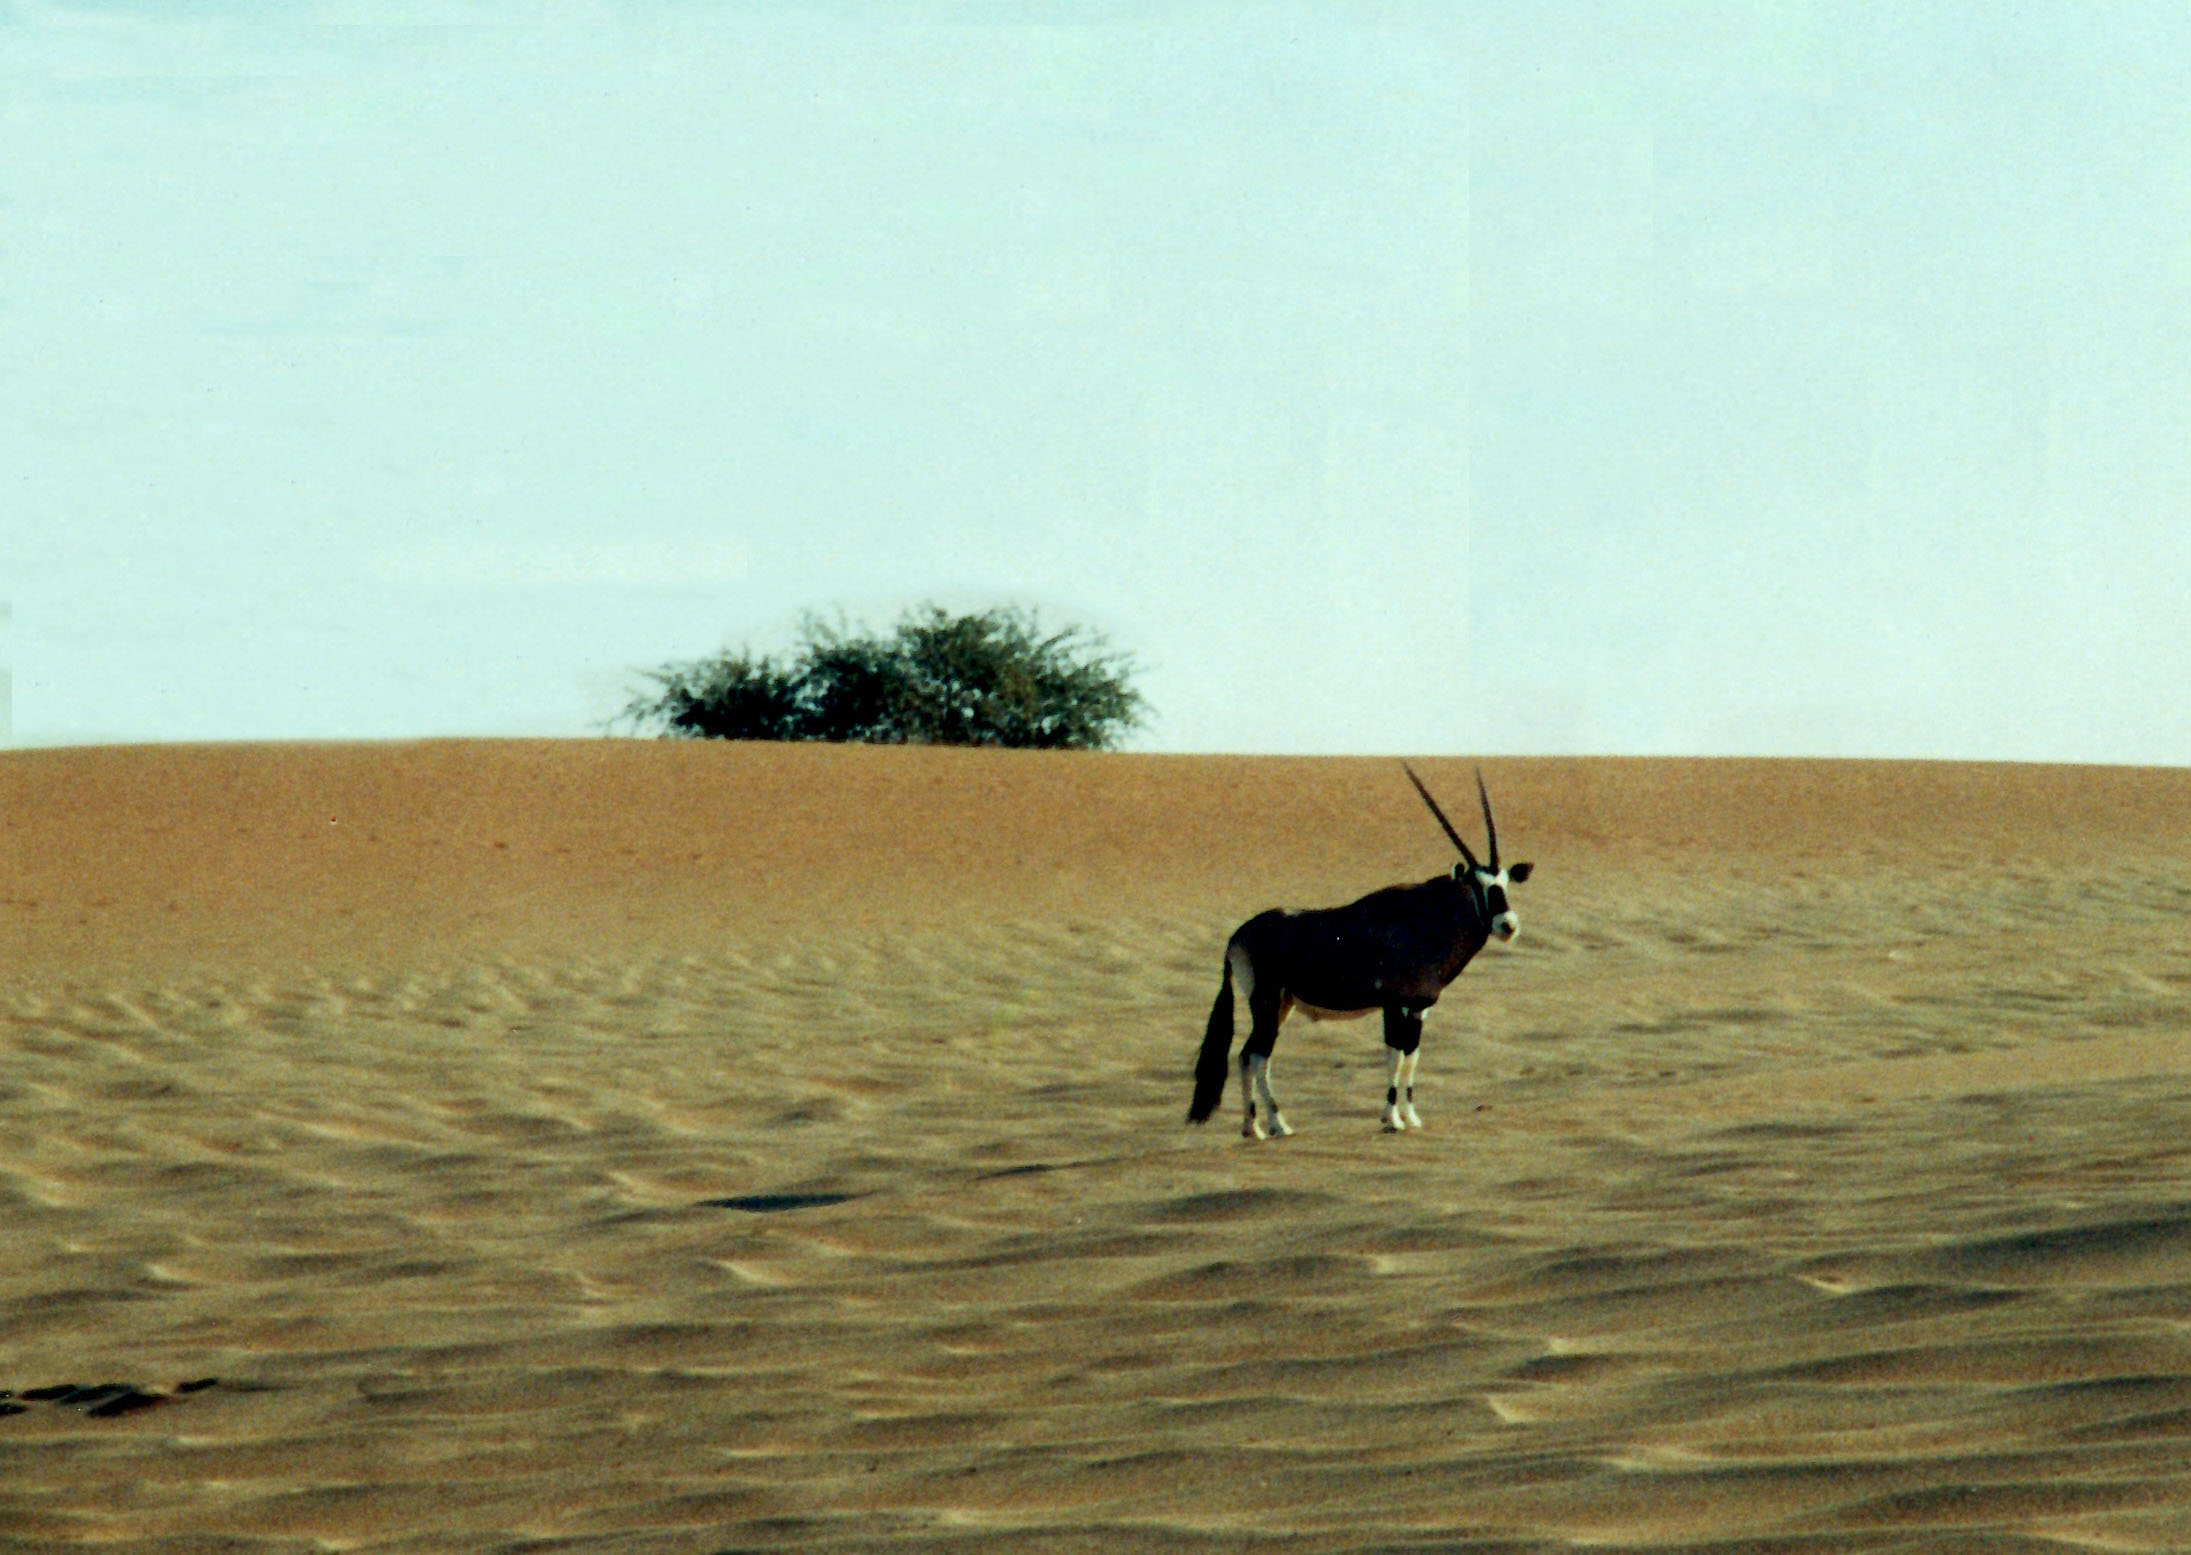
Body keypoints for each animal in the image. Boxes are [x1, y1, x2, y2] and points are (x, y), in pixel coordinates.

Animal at [1187, 764, 1532, 1137]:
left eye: (1505, 882)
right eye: (1476, 885)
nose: (1508, 925)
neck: (1426, 919)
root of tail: (1237, 936)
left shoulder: (1419, 1007)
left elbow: (1412, 1057)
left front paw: (1412, 1117)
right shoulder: (1393, 1004)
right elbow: (1395, 1056)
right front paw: (1391, 1119)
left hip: (1281, 1005)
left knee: (1245, 1055)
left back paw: (1252, 1127)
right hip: (1266, 1002)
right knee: (1258, 1056)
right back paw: (1279, 1125)